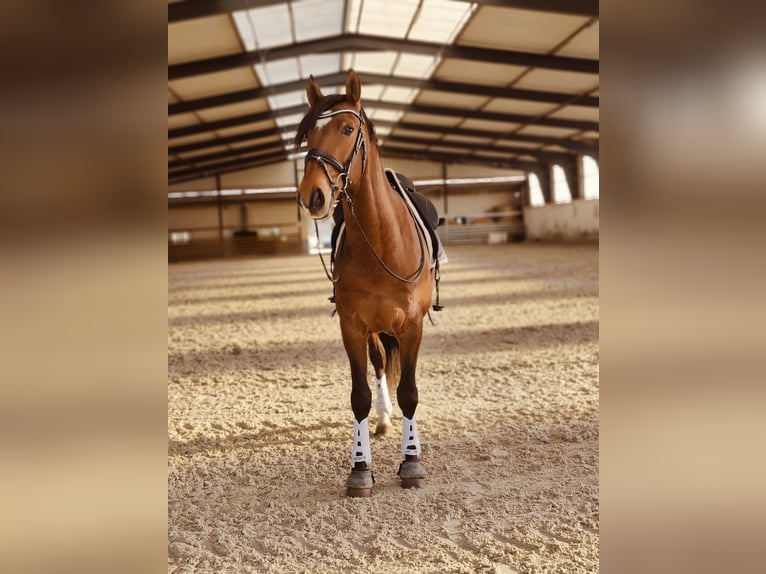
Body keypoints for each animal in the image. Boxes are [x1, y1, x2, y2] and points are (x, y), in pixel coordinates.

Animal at [296, 70, 438, 498]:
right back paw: (383, 418)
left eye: (346, 128)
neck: (381, 239)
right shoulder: (352, 326)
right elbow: (359, 395)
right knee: (378, 366)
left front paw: (412, 463)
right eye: (308, 134)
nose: (312, 195)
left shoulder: (412, 326)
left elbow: (410, 392)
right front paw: (359, 468)